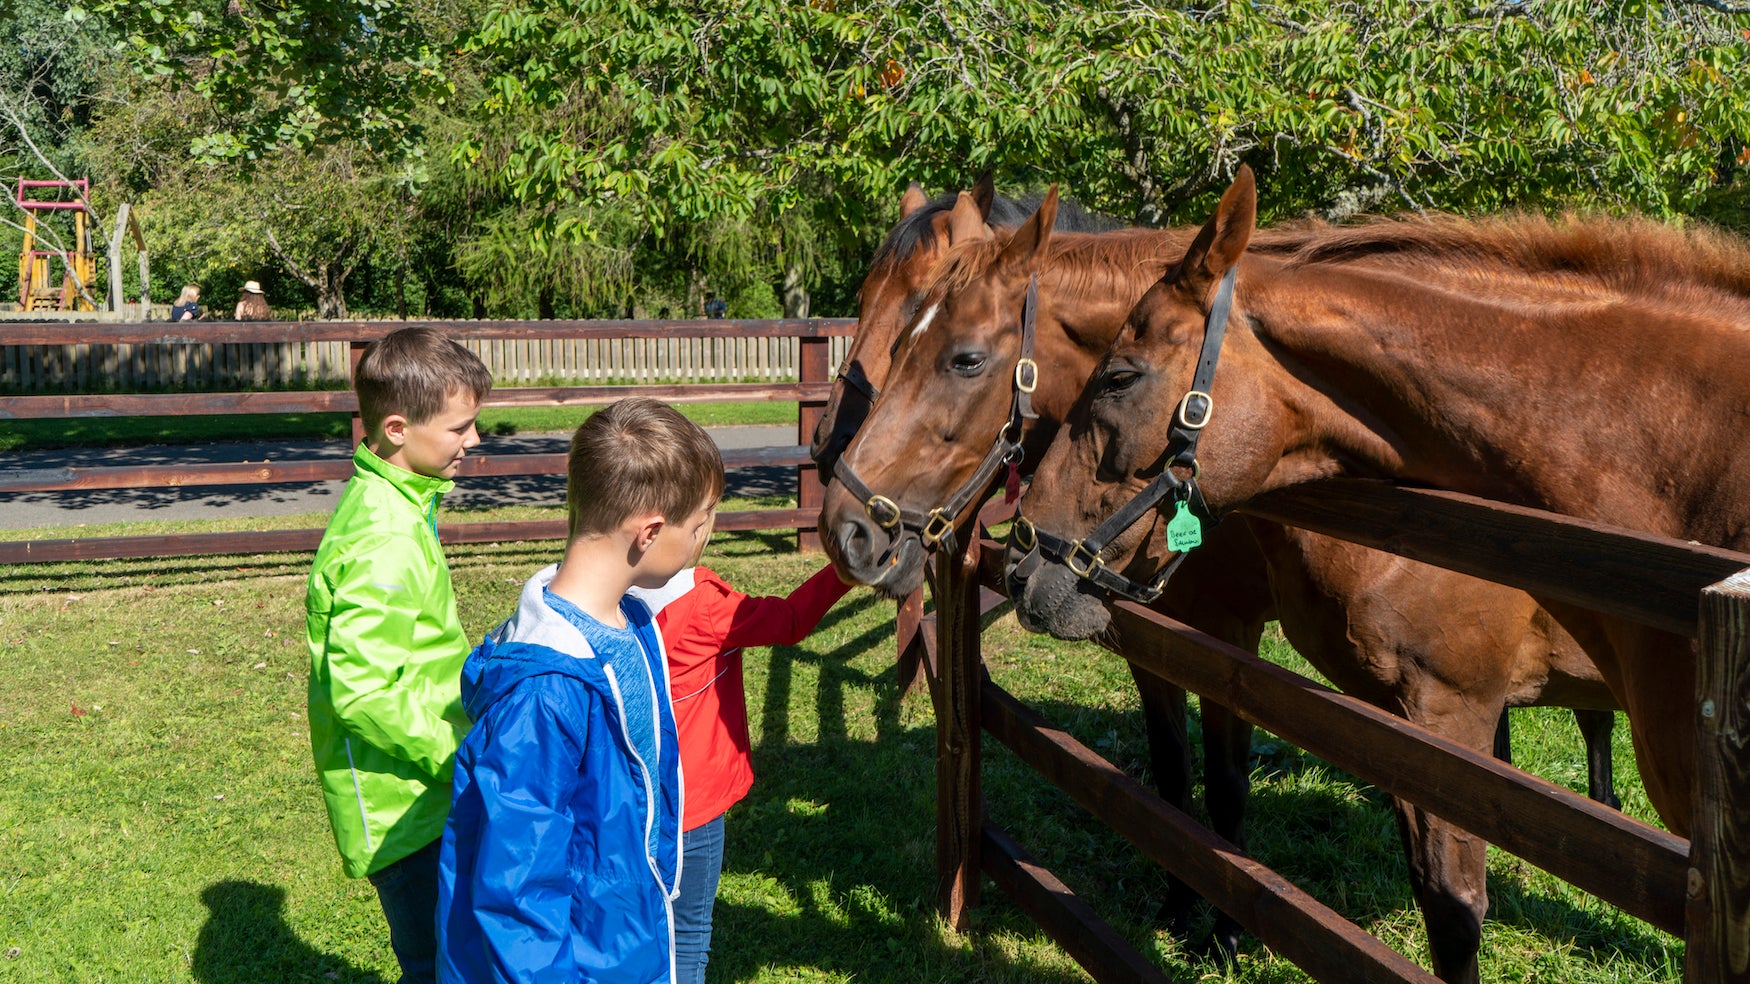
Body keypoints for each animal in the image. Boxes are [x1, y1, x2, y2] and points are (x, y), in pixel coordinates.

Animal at [823, 184, 1622, 983]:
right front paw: (1179, 908)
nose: (846, 522)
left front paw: (1228, 933)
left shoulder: (1229, 636)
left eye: (963, 359)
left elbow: (1228, 786)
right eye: (870, 305)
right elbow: (1173, 778)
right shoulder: (1154, 637)